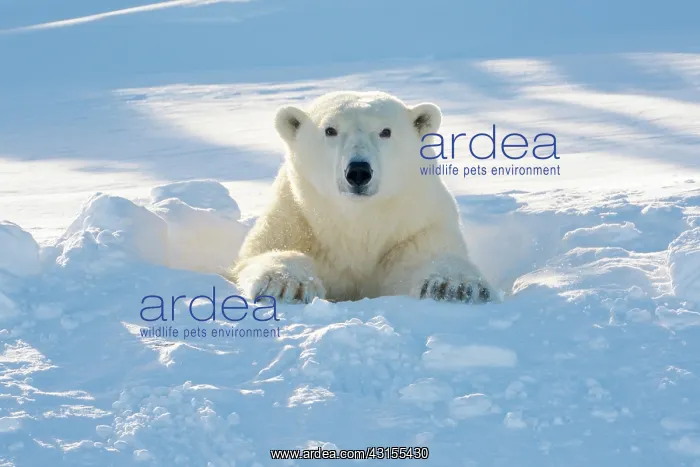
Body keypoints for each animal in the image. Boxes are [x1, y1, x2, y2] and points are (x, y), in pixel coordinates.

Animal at [225, 91, 495, 305]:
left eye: (385, 131)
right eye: (330, 130)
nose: (358, 171)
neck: (359, 219)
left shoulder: (415, 226)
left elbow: (428, 257)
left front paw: (454, 286)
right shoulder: (295, 219)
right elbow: (264, 251)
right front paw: (288, 284)